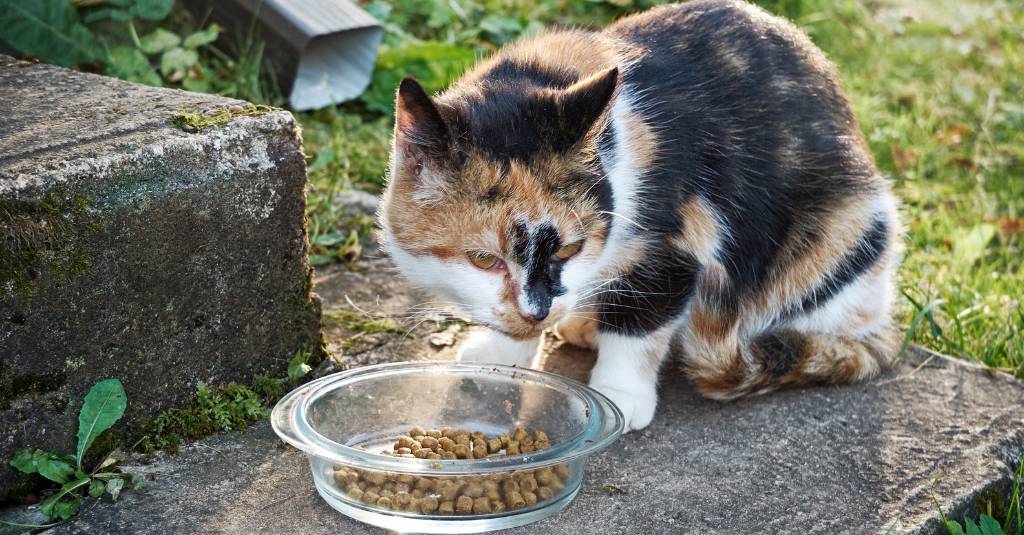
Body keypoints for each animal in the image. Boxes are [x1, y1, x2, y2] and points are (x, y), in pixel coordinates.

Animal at [380, 0, 901, 428]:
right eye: (484, 259)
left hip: (844, 238)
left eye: (570, 249)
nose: (538, 311)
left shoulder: (681, 238)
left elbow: (641, 322)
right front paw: (498, 357)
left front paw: (619, 396)